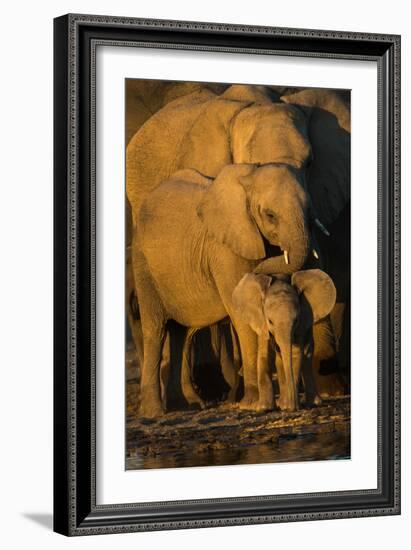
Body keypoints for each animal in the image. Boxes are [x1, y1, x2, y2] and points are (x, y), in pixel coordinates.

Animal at [134, 164, 314, 418]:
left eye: (309, 210)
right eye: (270, 215)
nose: (259, 271)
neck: (250, 178)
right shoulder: (225, 251)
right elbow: (241, 317)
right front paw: (252, 403)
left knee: (180, 334)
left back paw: (187, 406)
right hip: (143, 265)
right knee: (155, 329)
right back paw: (153, 412)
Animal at [233, 270, 336, 412]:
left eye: (296, 320)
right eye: (270, 321)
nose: (294, 407)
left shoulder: (301, 325)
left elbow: (296, 353)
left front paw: (289, 406)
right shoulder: (262, 323)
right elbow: (265, 354)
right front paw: (264, 408)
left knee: (307, 356)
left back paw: (312, 403)